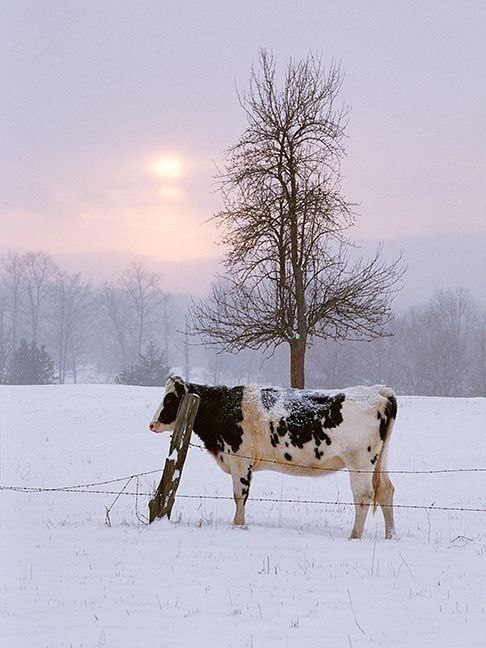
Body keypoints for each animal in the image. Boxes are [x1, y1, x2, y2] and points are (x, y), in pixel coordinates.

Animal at [149, 378, 398, 540]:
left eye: (170, 400)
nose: (152, 424)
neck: (226, 408)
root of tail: (377, 391)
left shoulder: (240, 459)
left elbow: (240, 496)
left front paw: (238, 526)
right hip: (379, 461)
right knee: (386, 490)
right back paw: (390, 536)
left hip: (360, 462)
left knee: (364, 497)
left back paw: (354, 536)